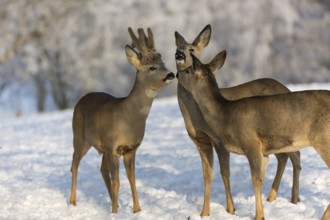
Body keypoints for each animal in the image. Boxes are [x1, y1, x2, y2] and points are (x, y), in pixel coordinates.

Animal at [69, 27, 175, 213]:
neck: (128, 119)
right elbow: (117, 181)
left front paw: (137, 210)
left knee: (102, 169)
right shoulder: (112, 146)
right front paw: (114, 213)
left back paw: (115, 203)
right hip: (79, 137)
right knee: (74, 164)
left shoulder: (130, 149)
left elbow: (132, 180)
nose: (171, 74)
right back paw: (73, 202)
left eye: (163, 64)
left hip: (102, 148)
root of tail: (80, 100)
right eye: (152, 67)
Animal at [175, 23, 302, 215]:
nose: (179, 55)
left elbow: (224, 172)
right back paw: (272, 197)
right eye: (176, 48)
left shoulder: (218, 141)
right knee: (283, 157)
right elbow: (207, 174)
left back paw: (293, 199)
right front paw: (204, 213)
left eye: (192, 49)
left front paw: (231, 209)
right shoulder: (200, 141)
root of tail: (286, 88)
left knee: (294, 156)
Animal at [178, 51, 330, 220]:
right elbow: (261, 180)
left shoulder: (251, 144)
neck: (224, 115)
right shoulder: (262, 151)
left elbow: (255, 180)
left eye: (188, 71)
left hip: (323, 139)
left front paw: (258, 216)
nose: (177, 74)